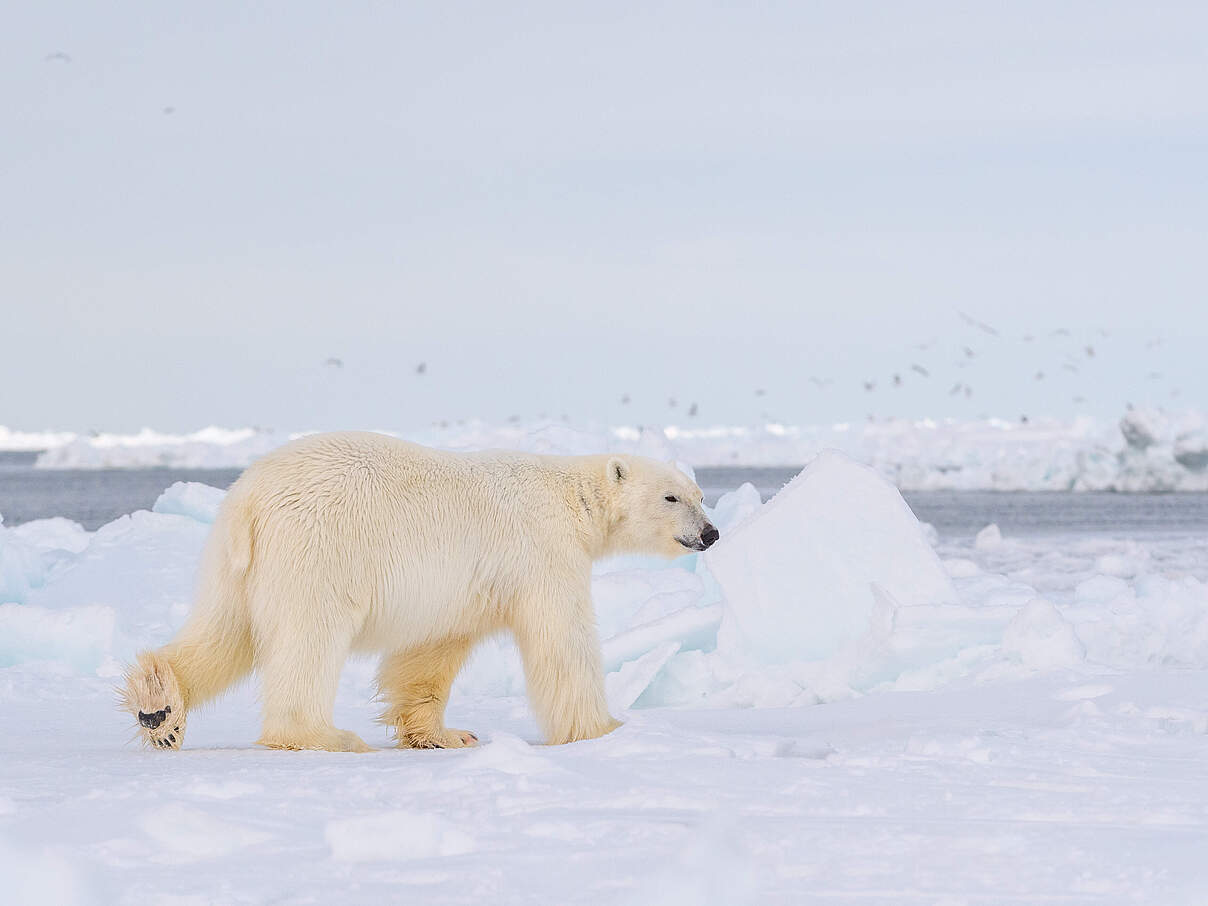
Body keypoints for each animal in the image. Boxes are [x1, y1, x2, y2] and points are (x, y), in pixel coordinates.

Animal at [120, 432, 715, 753]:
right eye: (672, 497)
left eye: (700, 494)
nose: (710, 533)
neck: (572, 499)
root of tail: (251, 496)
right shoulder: (541, 552)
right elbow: (562, 641)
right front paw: (605, 729)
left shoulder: (461, 586)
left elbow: (431, 652)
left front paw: (445, 735)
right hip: (318, 547)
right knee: (308, 639)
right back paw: (323, 734)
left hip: (234, 563)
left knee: (225, 633)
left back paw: (159, 706)